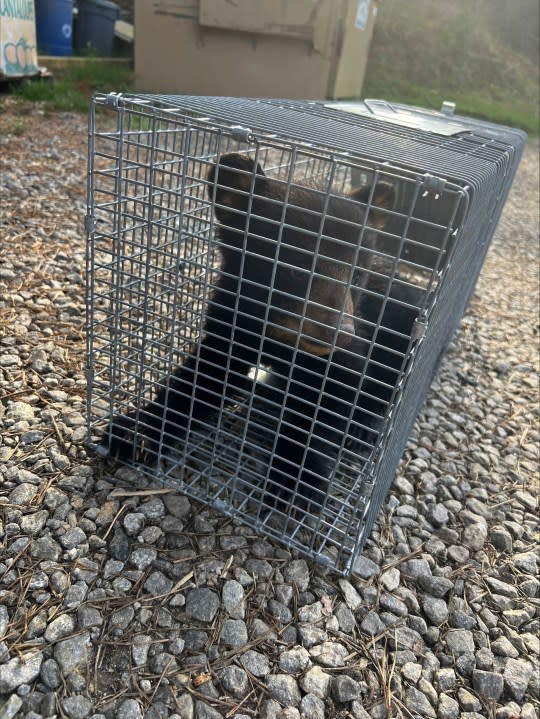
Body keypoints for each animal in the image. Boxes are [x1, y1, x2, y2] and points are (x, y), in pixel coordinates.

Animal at [99, 153, 424, 512]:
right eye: (296, 268)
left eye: (357, 275)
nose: (340, 333)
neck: (281, 336)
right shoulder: (232, 319)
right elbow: (203, 377)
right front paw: (137, 431)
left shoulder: (354, 346)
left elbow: (329, 403)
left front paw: (295, 479)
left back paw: (367, 426)